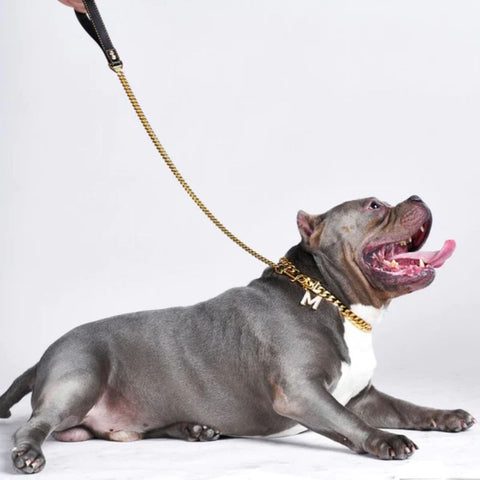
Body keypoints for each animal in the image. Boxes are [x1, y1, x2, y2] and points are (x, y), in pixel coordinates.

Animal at [0, 195, 474, 472]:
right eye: (374, 206)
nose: (417, 197)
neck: (334, 299)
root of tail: (43, 357)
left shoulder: (363, 394)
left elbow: (406, 407)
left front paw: (446, 416)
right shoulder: (302, 393)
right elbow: (349, 422)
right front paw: (384, 440)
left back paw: (194, 430)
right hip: (79, 378)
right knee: (35, 425)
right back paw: (28, 454)